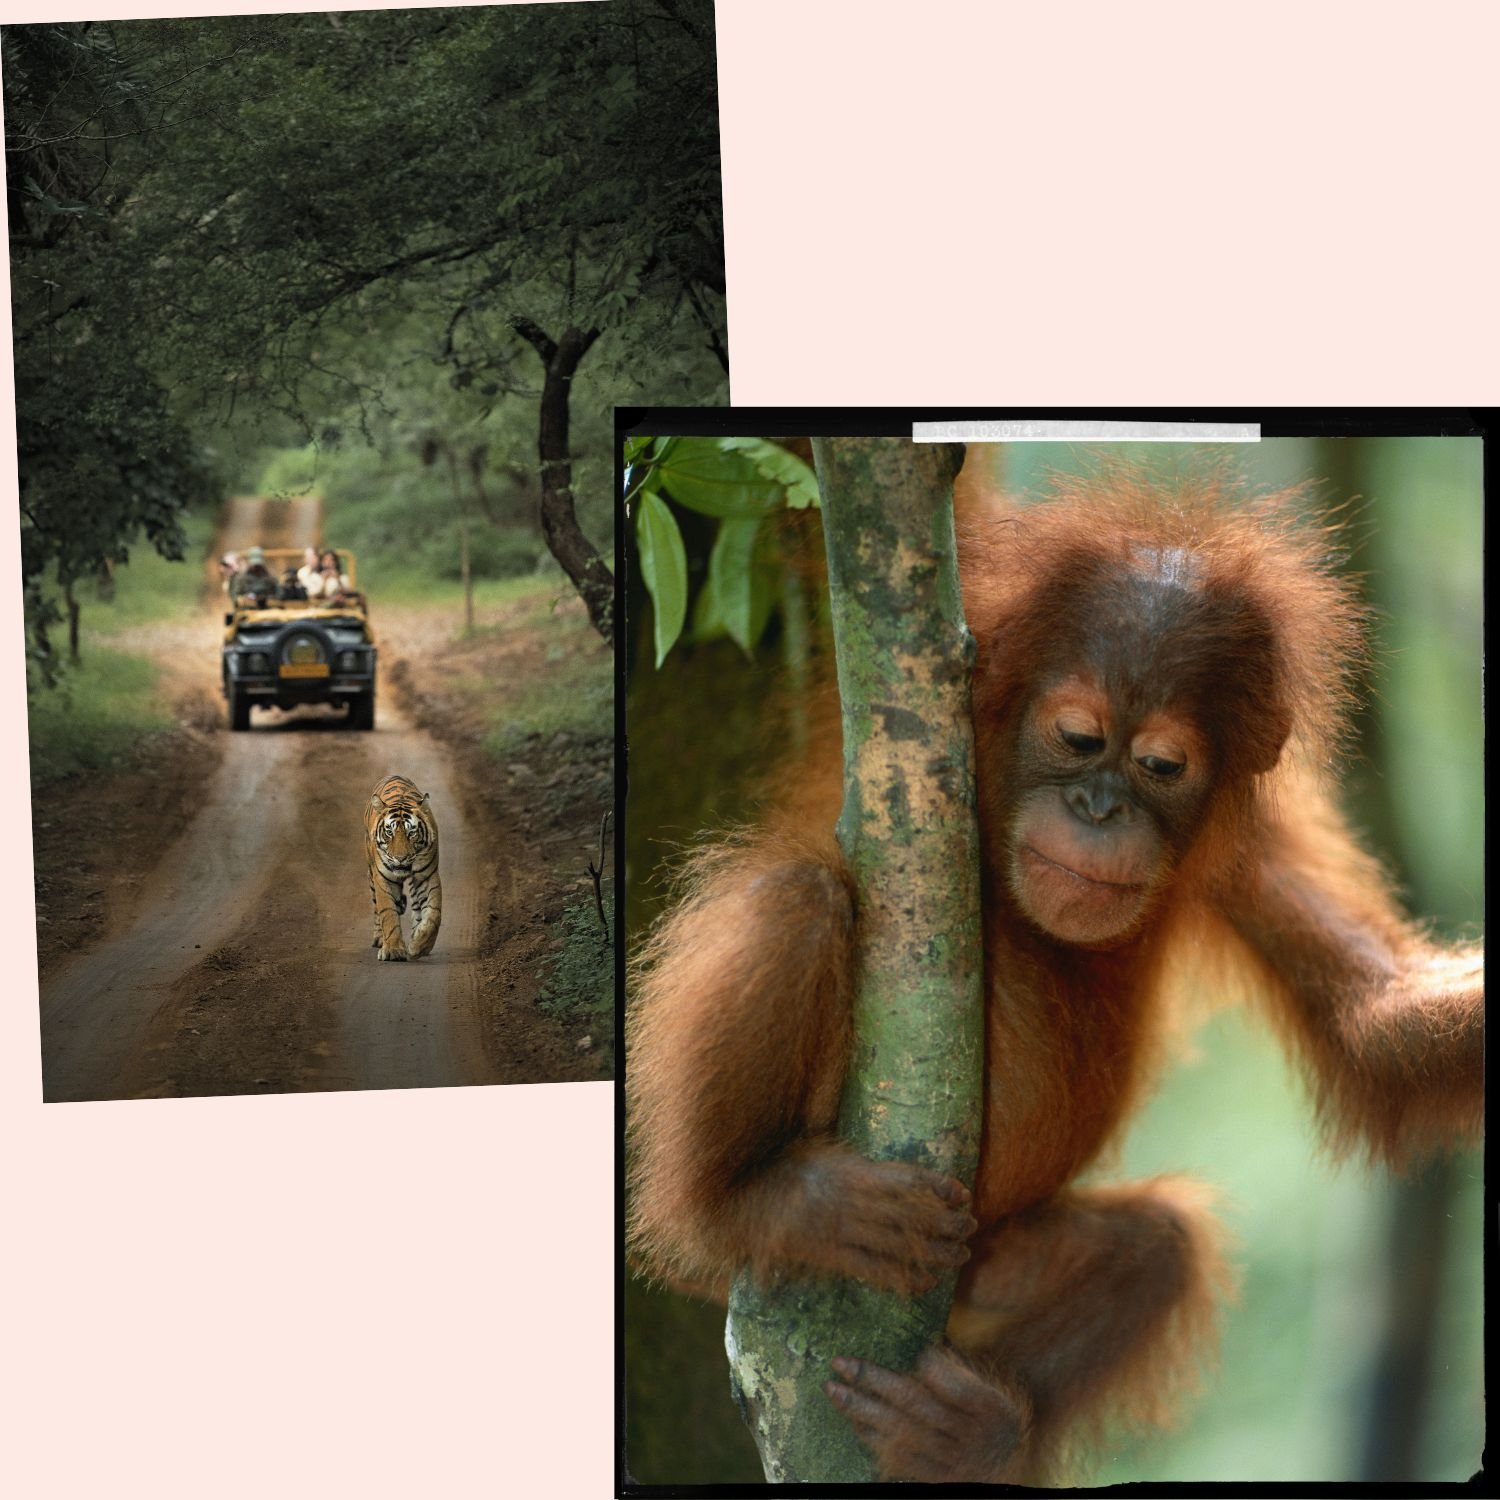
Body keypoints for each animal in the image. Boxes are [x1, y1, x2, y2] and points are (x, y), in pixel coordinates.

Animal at [365, 773, 441, 961]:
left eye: (411, 833)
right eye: (389, 832)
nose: (400, 859)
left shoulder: (427, 876)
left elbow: (434, 914)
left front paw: (418, 946)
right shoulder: (382, 878)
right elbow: (388, 913)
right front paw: (393, 949)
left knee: (417, 908)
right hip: (371, 875)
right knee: (376, 908)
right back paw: (379, 938)